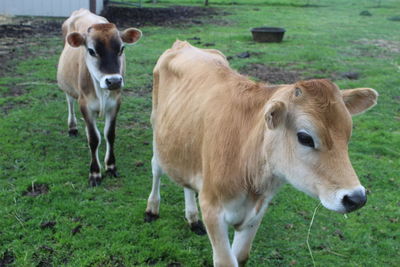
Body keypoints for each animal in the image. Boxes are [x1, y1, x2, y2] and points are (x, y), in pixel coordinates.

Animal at [57, 9, 142, 187]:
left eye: (121, 48)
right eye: (91, 51)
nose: (114, 81)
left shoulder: (115, 103)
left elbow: (109, 134)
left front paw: (110, 166)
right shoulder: (85, 104)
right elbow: (94, 138)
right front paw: (95, 173)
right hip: (68, 86)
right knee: (70, 101)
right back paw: (72, 127)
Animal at [145, 40, 376, 266]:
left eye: (348, 134)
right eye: (305, 137)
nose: (356, 198)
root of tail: (183, 43)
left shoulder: (257, 211)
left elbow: (241, 256)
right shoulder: (212, 208)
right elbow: (226, 261)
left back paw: (193, 218)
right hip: (157, 130)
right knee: (156, 168)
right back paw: (152, 209)